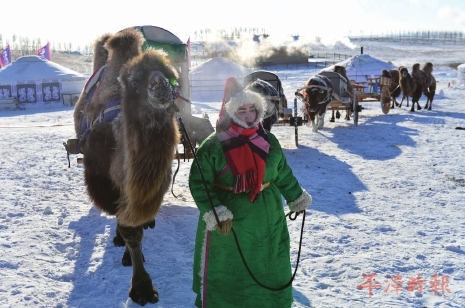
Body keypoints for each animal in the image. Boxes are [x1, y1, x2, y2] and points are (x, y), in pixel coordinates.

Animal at [73, 28, 181, 304]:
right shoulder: (105, 182)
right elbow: (128, 228)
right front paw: (141, 288)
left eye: (170, 76)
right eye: (135, 82)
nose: (160, 85)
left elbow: (135, 225)